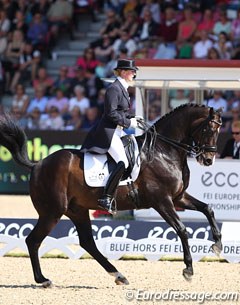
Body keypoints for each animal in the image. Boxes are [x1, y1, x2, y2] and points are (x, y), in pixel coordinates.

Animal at [0, 104, 222, 284]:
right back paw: (43, 279)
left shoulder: (178, 197)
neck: (163, 152)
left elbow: (208, 209)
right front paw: (188, 270)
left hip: (76, 210)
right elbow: (182, 230)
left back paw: (118, 275)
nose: (208, 159)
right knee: (33, 241)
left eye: (219, 129)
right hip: (52, 212)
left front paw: (218, 245)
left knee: (87, 242)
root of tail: (38, 165)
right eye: (208, 128)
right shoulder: (162, 201)